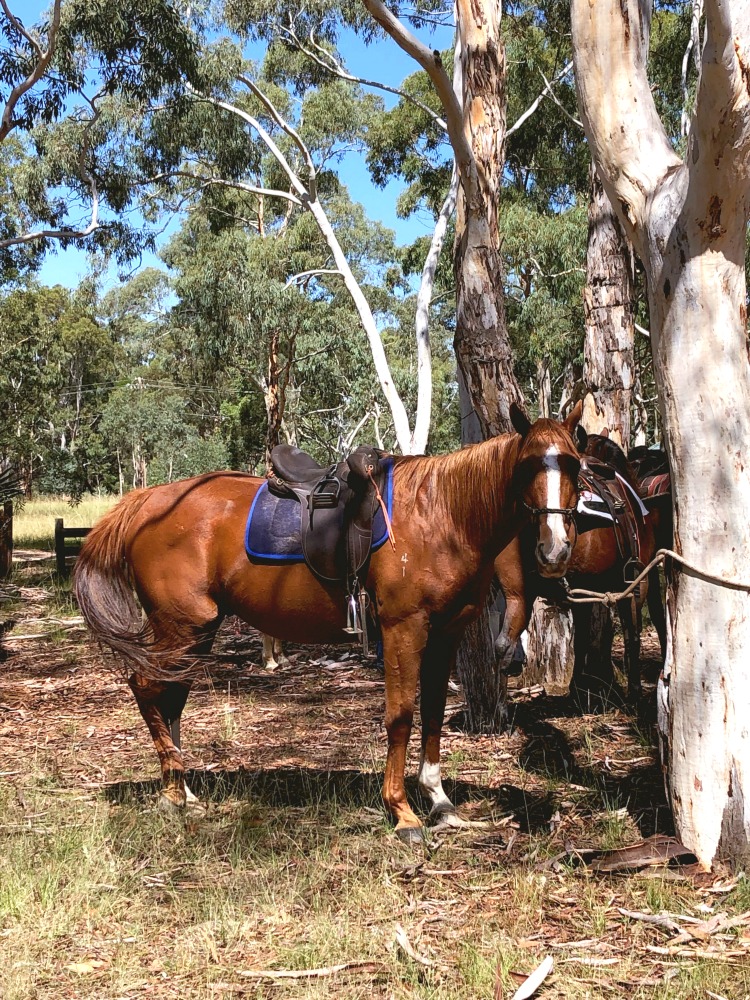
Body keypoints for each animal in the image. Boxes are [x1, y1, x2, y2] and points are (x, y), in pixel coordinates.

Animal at [73, 402, 584, 840]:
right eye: (527, 466)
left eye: (576, 465)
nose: (555, 550)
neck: (442, 514)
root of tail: (147, 502)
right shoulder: (404, 629)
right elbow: (400, 715)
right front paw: (402, 811)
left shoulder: (445, 634)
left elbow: (434, 714)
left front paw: (440, 801)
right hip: (181, 626)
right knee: (146, 688)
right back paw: (172, 791)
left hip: (195, 630)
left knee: (172, 697)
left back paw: (183, 791)